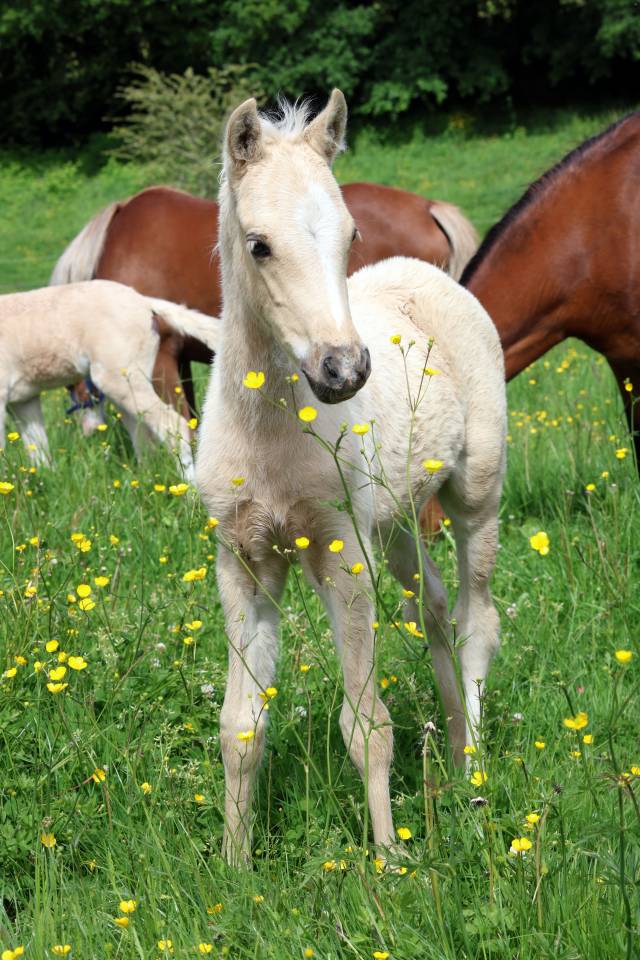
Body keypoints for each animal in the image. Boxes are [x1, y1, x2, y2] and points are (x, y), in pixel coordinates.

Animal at [0, 280, 220, 477]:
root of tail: (142, 300)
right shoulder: (24, 400)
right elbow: (39, 453)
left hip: (120, 379)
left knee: (172, 425)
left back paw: (189, 489)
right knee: (142, 439)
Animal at [194, 90, 506, 864]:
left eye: (349, 233)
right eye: (259, 244)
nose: (345, 369)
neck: (270, 434)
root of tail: (430, 272)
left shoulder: (340, 553)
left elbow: (367, 723)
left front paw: (390, 859)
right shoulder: (242, 561)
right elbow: (239, 725)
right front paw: (234, 866)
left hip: (473, 497)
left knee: (477, 619)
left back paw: (475, 773)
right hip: (391, 524)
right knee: (432, 605)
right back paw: (450, 755)